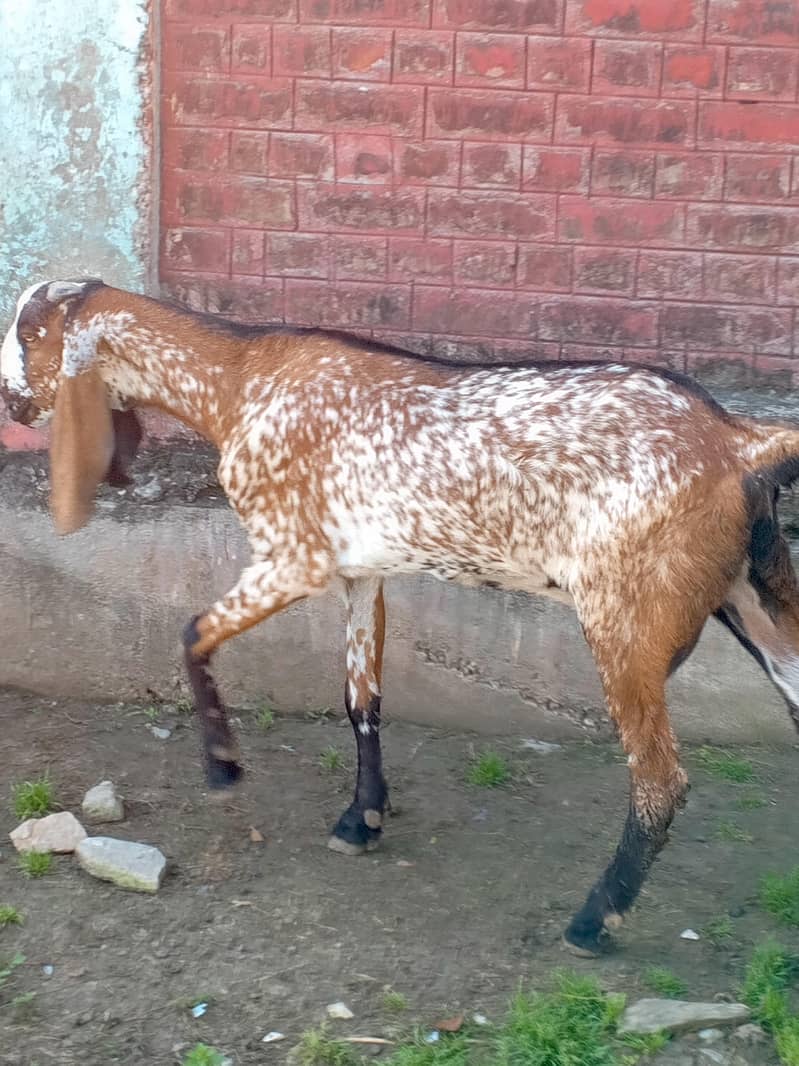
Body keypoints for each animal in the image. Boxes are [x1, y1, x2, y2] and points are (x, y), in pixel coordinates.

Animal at [3, 276, 799, 956]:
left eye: (29, 333)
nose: (11, 403)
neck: (239, 382)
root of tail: (740, 440)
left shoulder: (293, 559)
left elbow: (193, 633)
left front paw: (224, 767)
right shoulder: (362, 573)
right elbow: (361, 699)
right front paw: (363, 819)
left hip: (624, 618)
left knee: (659, 781)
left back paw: (592, 920)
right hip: (757, 604)